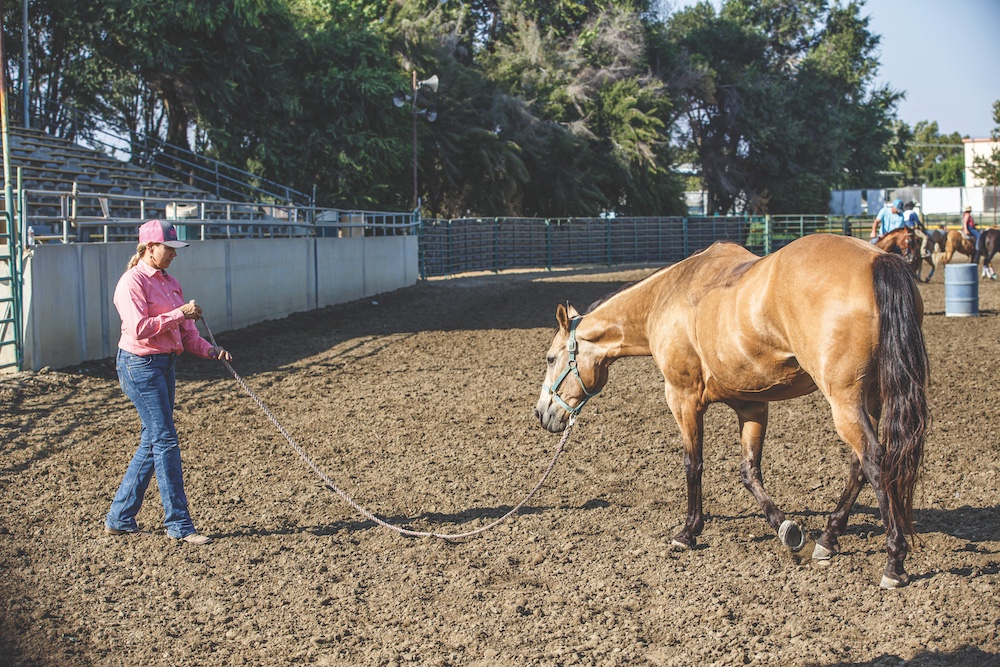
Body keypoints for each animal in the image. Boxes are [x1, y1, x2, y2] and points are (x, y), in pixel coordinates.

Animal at [535, 234, 929, 589]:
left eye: (551, 358)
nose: (542, 413)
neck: (665, 297)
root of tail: (878, 260)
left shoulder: (682, 398)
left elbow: (693, 464)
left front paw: (688, 532)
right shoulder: (751, 404)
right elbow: (748, 471)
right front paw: (786, 529)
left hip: (844, 401)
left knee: (875, 461)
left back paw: (894, 562)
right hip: (871, 399)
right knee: (859, 466)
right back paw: (828, 539)